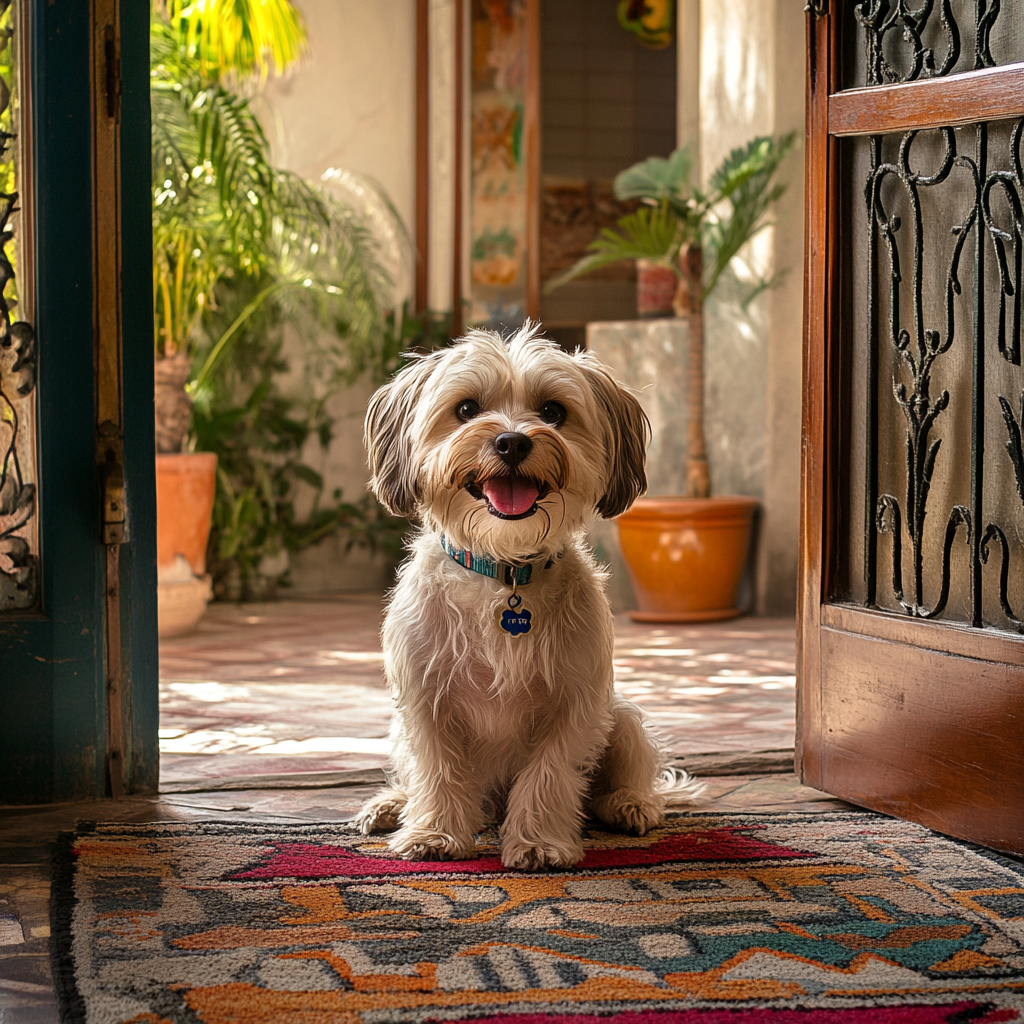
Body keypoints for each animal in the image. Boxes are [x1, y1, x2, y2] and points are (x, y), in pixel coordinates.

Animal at [354, 323, 704, 868]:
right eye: (466, 409)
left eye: (553, 412)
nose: (512, 441)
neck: (504, 574)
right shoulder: (425, 700)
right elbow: (437, 770)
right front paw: (435, 833)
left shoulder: (576, 703)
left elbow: (549, 776)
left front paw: (538, 842)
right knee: (414, 778)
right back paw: (393, 804)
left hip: (621, 718)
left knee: (627, 774)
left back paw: (630, 804)